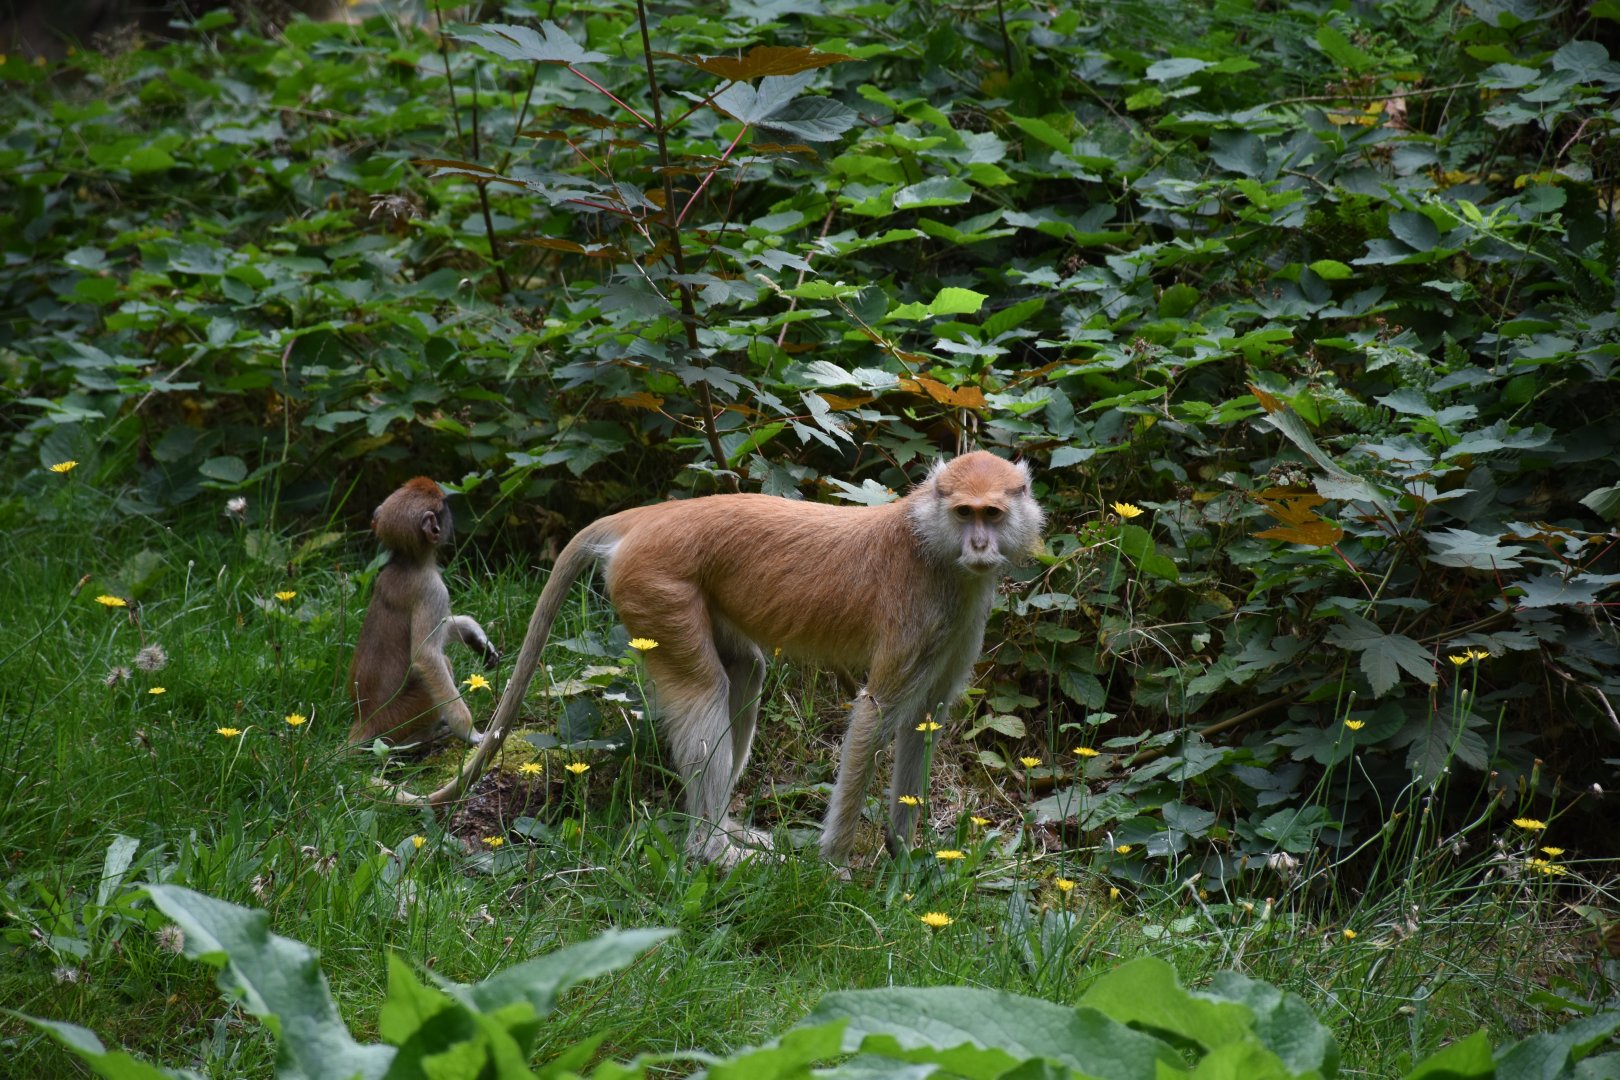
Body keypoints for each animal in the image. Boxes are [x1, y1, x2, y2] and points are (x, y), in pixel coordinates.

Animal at [348, 477, 501, 750]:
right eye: (445, 505)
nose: (451, 512)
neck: (407, 562)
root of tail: (365, 722)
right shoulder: (433, 590)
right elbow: (426, 656)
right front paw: (470, 732)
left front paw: (477, 637)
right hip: (400, 717)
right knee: (442, 665)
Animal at [413, 451, 1044, 866]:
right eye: (964, 513)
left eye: (992, 514)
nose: (980, 546)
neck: (928, 540)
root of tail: (649, 518)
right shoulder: (920, 610)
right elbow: (875, 713)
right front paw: (834, 866)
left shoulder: (960, 614)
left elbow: (923, 718)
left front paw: (907, 855)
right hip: (655, 585)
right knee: (703, 691)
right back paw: (712, 848)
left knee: (745, 673)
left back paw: (726, 830)